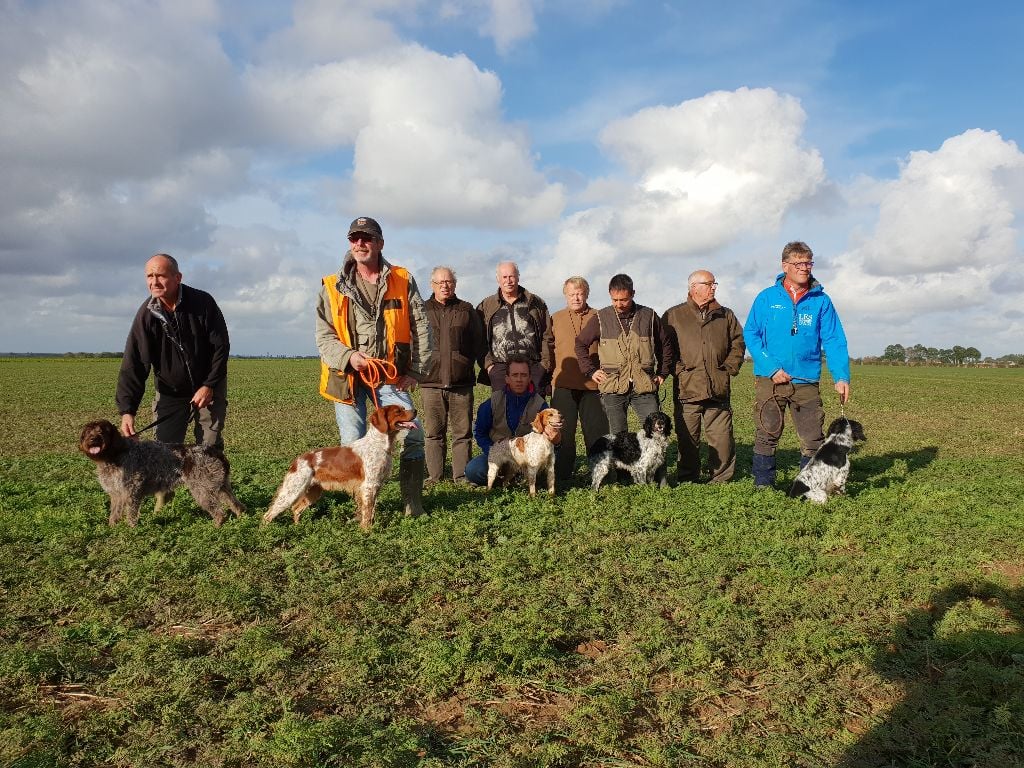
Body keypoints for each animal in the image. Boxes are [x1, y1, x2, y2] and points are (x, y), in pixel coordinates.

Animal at [78, 421, 245, 528]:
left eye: (103, 431)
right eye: (88, 432)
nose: (93, 439)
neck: (112, 456)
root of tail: (215, 452)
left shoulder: (132, 492)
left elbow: (131, 514)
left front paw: (131, 530)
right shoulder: (117, 494)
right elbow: (114, 513)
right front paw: (112, 527)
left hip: (202, 490)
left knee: (219, 512)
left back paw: (216, 525)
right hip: (220, 486)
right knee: (236, 504)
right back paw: (241, 517)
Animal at [262, 409, 417, 528]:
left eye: (403, 408)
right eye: (398, 411)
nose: (415, 410)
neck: (378, 444)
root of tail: (298, 460)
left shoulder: (376, 486)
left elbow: (371, 510)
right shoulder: (369, 486)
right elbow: (367, 513)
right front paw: (366, 531)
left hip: (313, 491)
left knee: (295, 509)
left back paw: (298, 527)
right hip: (292, 491)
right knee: (268, 515)